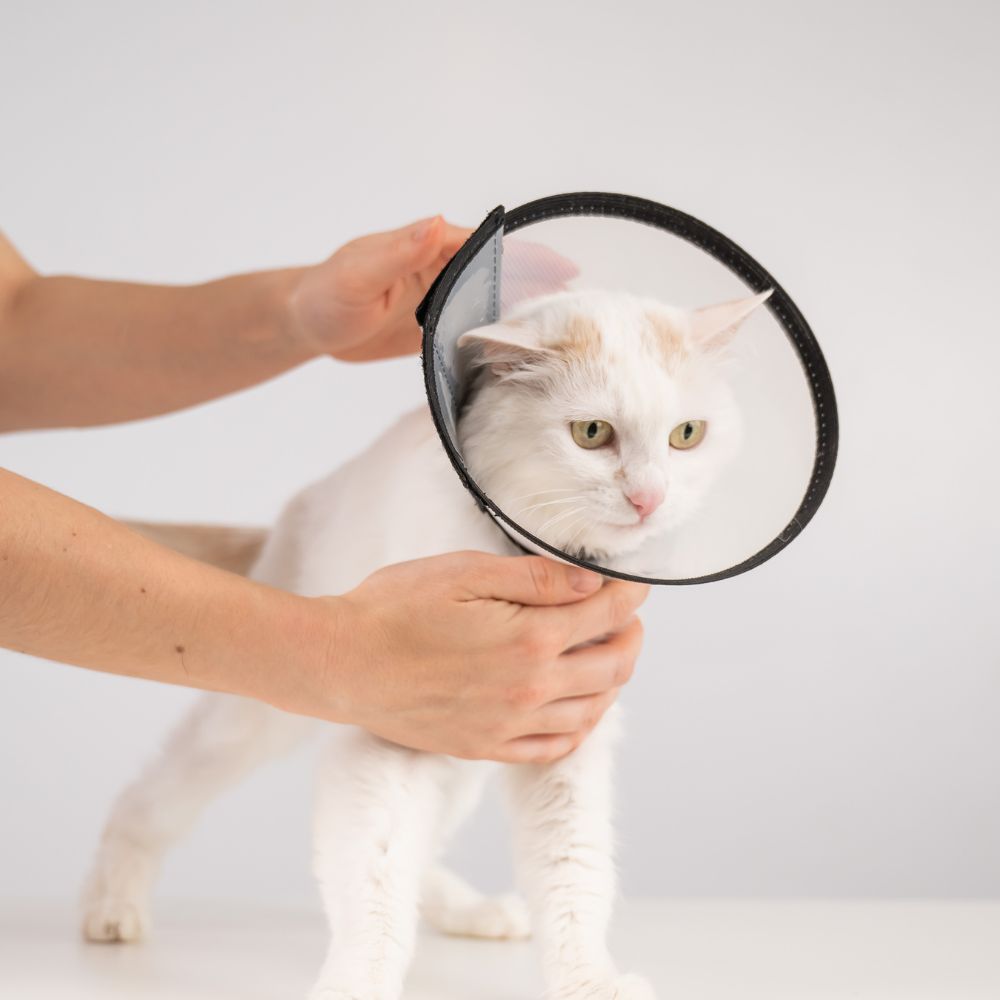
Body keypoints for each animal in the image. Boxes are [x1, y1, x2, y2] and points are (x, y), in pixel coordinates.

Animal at [82, 286, 768, 996]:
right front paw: (357, 983)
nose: (649, 499)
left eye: (687, 435)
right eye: (592, 434)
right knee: (151, 799)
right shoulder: (393, 737)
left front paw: (588, 980)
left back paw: (473, 911)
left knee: (426, 849)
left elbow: (574, 874)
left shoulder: (564, 739)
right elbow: (375, 881)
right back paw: (113, 907)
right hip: (254, 721)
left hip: (466, 754)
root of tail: (294, 512)